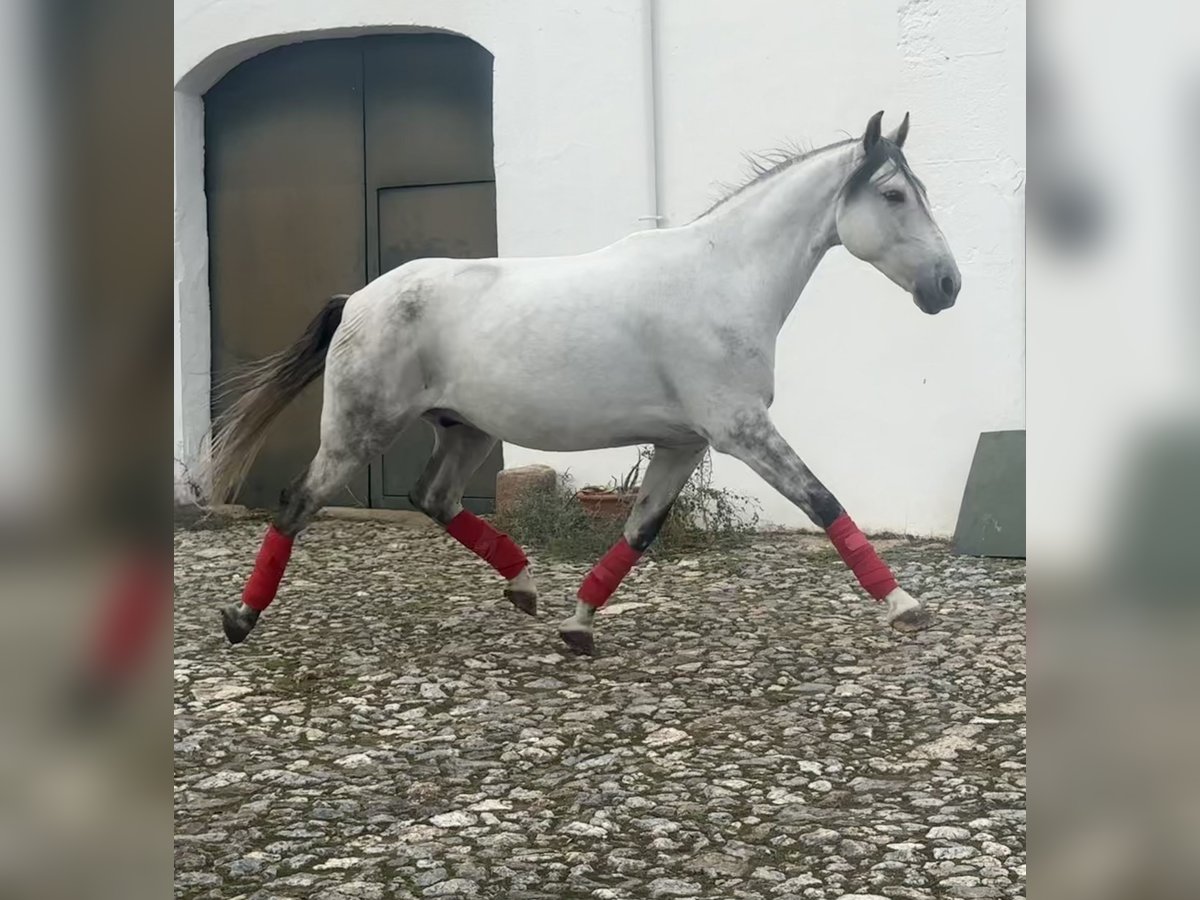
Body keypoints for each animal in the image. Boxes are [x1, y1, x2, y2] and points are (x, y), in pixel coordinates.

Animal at [213, 114, 964, 657]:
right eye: (894, 194)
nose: (947, 285)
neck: (722, 278)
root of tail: (359, 299)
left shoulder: (685, 443)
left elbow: (640, 529)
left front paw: (577, 624)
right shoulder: (740, 429)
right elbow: (822, 500)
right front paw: (905, 608)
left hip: (466, 429)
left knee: (434, 498)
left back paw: (524, 588)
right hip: (359, 429)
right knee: (297, 503)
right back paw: (240, 618)